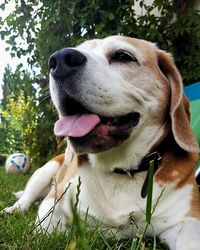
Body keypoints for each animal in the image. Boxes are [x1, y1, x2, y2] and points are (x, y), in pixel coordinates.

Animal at [3, 36, 200, 249]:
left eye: (123, 56)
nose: (59, 59)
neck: (121, 171)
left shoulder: (187, 220)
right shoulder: (54, 204)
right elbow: (45, 230)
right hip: (44, 172)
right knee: (27, 198)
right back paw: (14, 209)